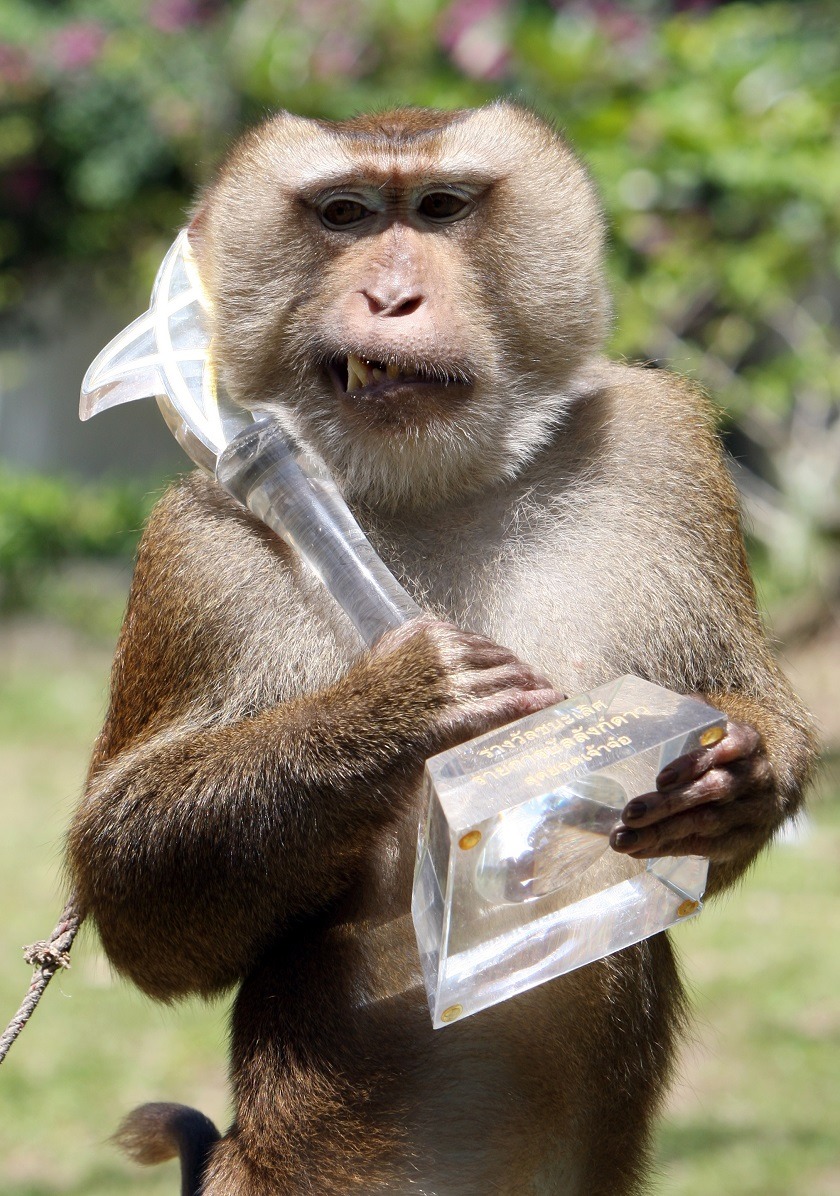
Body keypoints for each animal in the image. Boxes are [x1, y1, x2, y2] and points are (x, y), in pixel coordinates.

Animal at [69, 105, 818, 1196]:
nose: (391, 295)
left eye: (439, 208)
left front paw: (731, 775)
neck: (430, 490)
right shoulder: (193, 551)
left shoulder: (662, 449)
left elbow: (735, 694)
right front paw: (408, 702)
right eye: (344, 214)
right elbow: (134, 894)